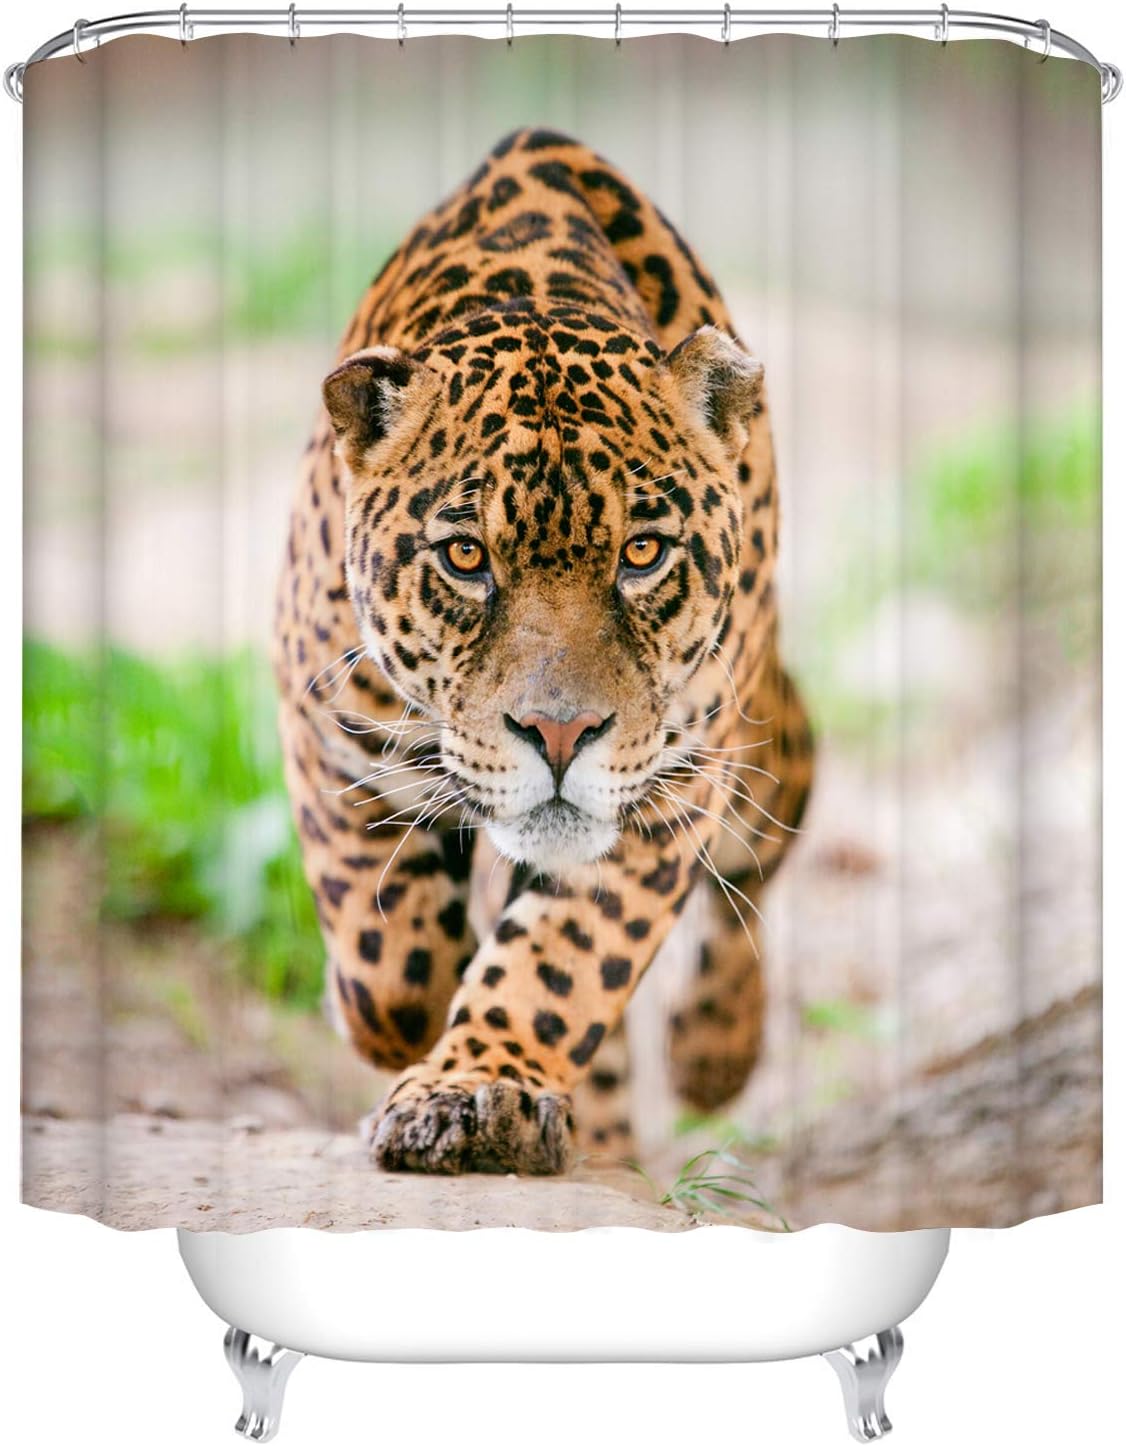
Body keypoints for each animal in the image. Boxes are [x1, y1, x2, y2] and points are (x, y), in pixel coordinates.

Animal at [273, 127, 814, 1176]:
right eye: (465, 558)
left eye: (642, 554)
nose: (560, 736)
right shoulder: (324, 721)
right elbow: (386, 954)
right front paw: (401, 1026)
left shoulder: (669, 785)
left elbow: (562, 961)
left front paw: (478, 1089)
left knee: (769, 833)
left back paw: (713, 1054)